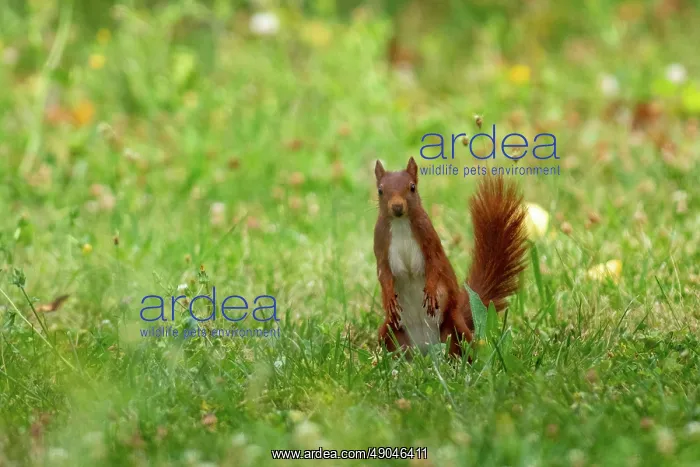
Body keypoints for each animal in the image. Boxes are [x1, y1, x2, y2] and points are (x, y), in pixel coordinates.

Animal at [373, 157, 529, 357]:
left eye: (412, 187)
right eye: (380, 190)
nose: (397, 207)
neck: (400, 223)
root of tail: (425, 349)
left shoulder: (429, 239)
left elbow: (435, 264)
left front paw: (431, 291)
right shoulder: (381, 245)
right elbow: (383, 273)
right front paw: (389, 298)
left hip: (454, 327)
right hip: (389, 331)